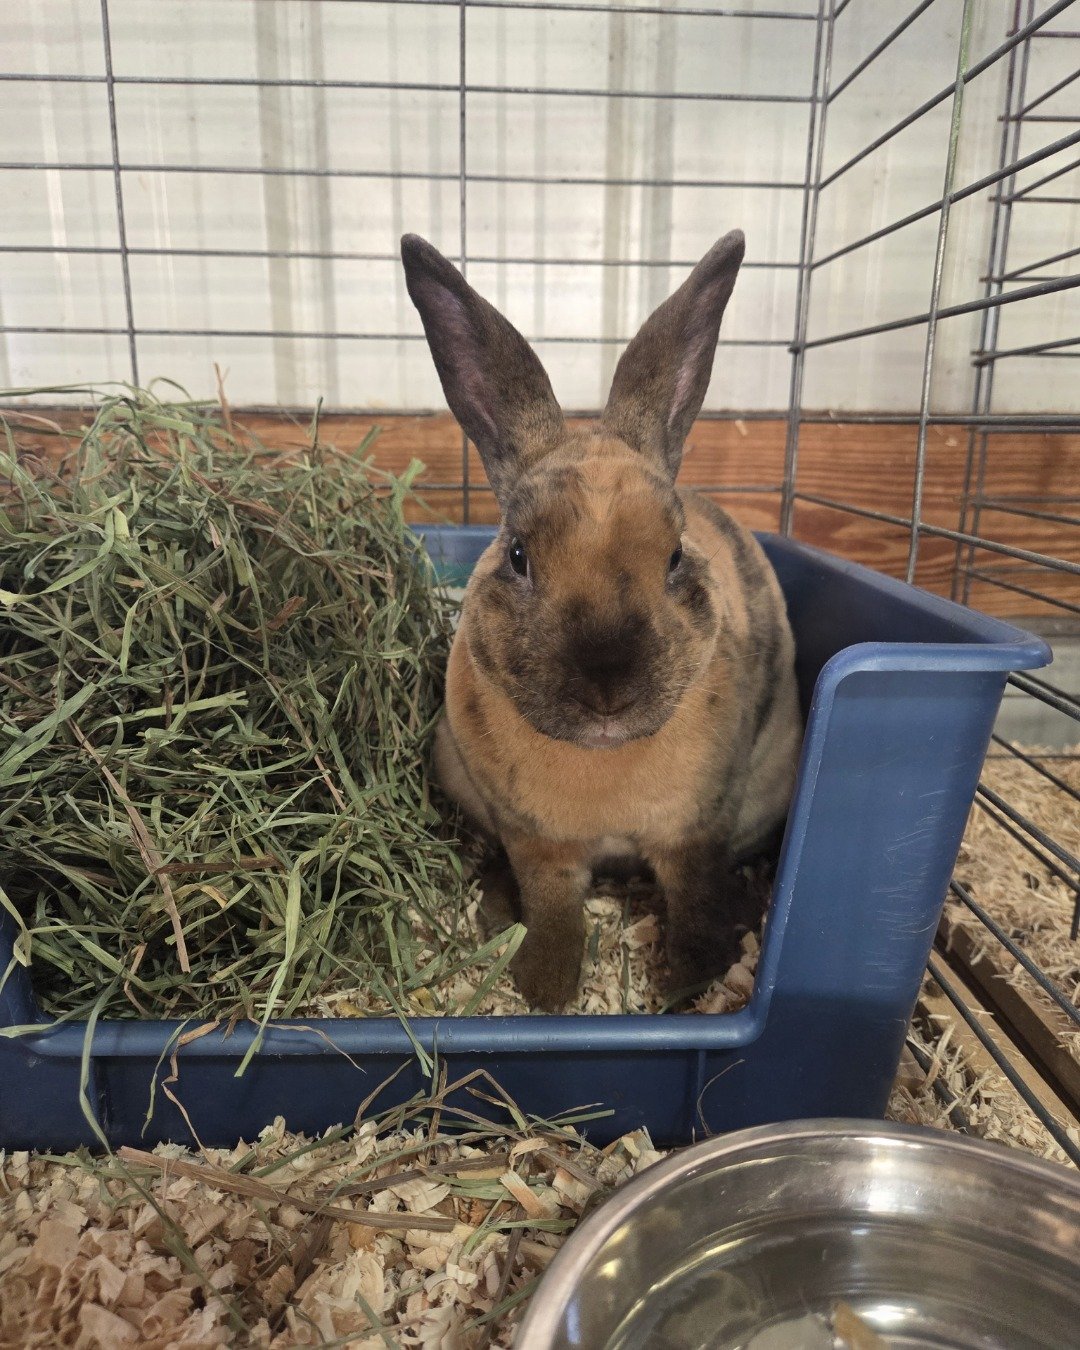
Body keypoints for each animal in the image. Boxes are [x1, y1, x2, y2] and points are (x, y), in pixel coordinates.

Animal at [401, 230, 802, 1012]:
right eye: (518, 554)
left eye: (674, 554)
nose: (608, 689)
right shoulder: (537, 841)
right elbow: (555, 911)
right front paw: (545, 988)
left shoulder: (695, 832)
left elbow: (695, 905)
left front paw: (684, 986)